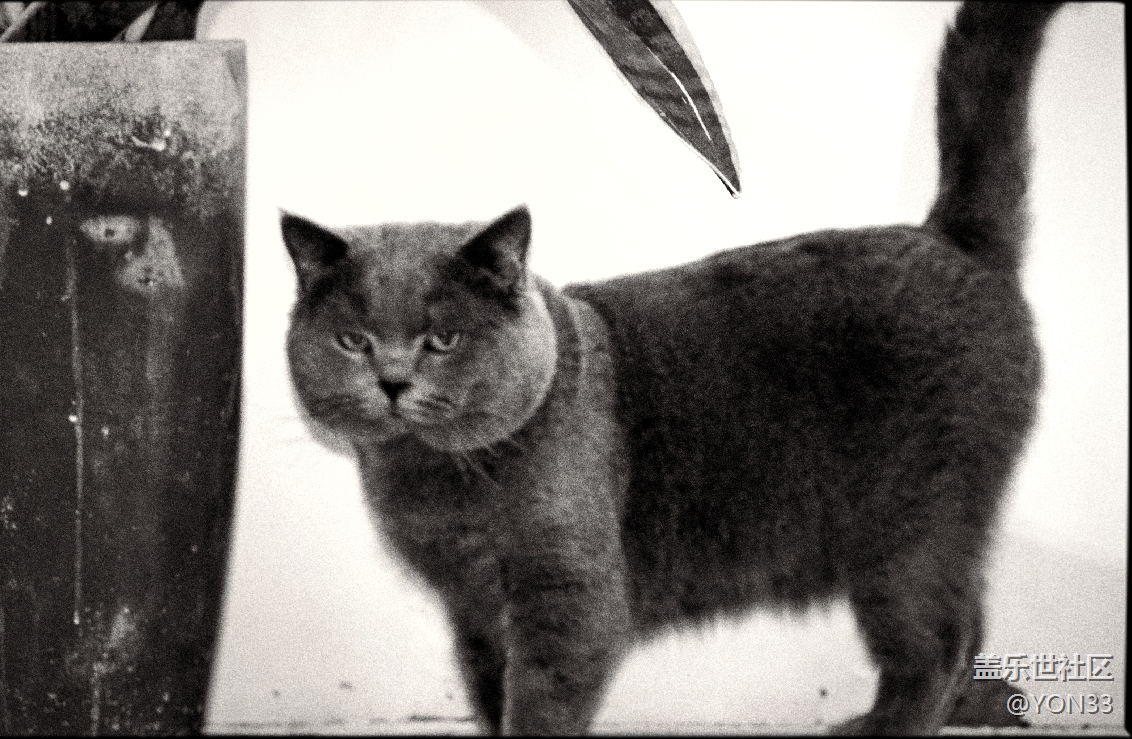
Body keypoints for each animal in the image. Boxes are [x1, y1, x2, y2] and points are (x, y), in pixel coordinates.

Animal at [280, 3, 1057, 734]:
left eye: (442, 338)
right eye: (353, 339)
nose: (392, 380)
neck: (443, 486)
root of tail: (952, 238)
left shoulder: (568, 599)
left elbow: (538, 703)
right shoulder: (470, 612)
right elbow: (487, 695)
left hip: (909, 523)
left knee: (938, 642)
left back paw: (890, 725)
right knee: (970, 621)